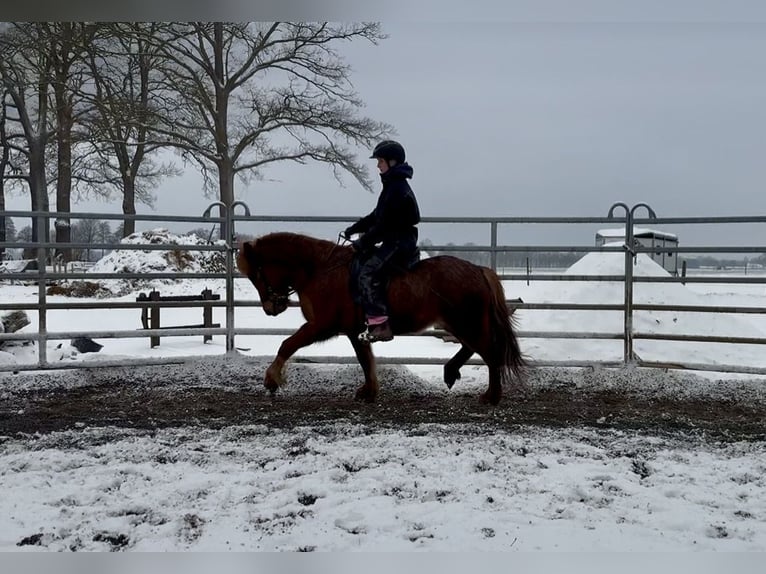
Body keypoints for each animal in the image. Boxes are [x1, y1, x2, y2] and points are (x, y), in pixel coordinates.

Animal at [237, 232, 525, 405]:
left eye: (256, 273)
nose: (271, 307)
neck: (320, 270)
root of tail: (479, 270)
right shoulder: (354, 330)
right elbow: (366, 360)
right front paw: (369, 391)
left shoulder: (322, 325)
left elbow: (288, 344)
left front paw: (271, 380)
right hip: (460, 323)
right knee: (472, 348)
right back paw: (451, 372)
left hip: (466, 322)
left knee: (489, 353)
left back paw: (491, 396)